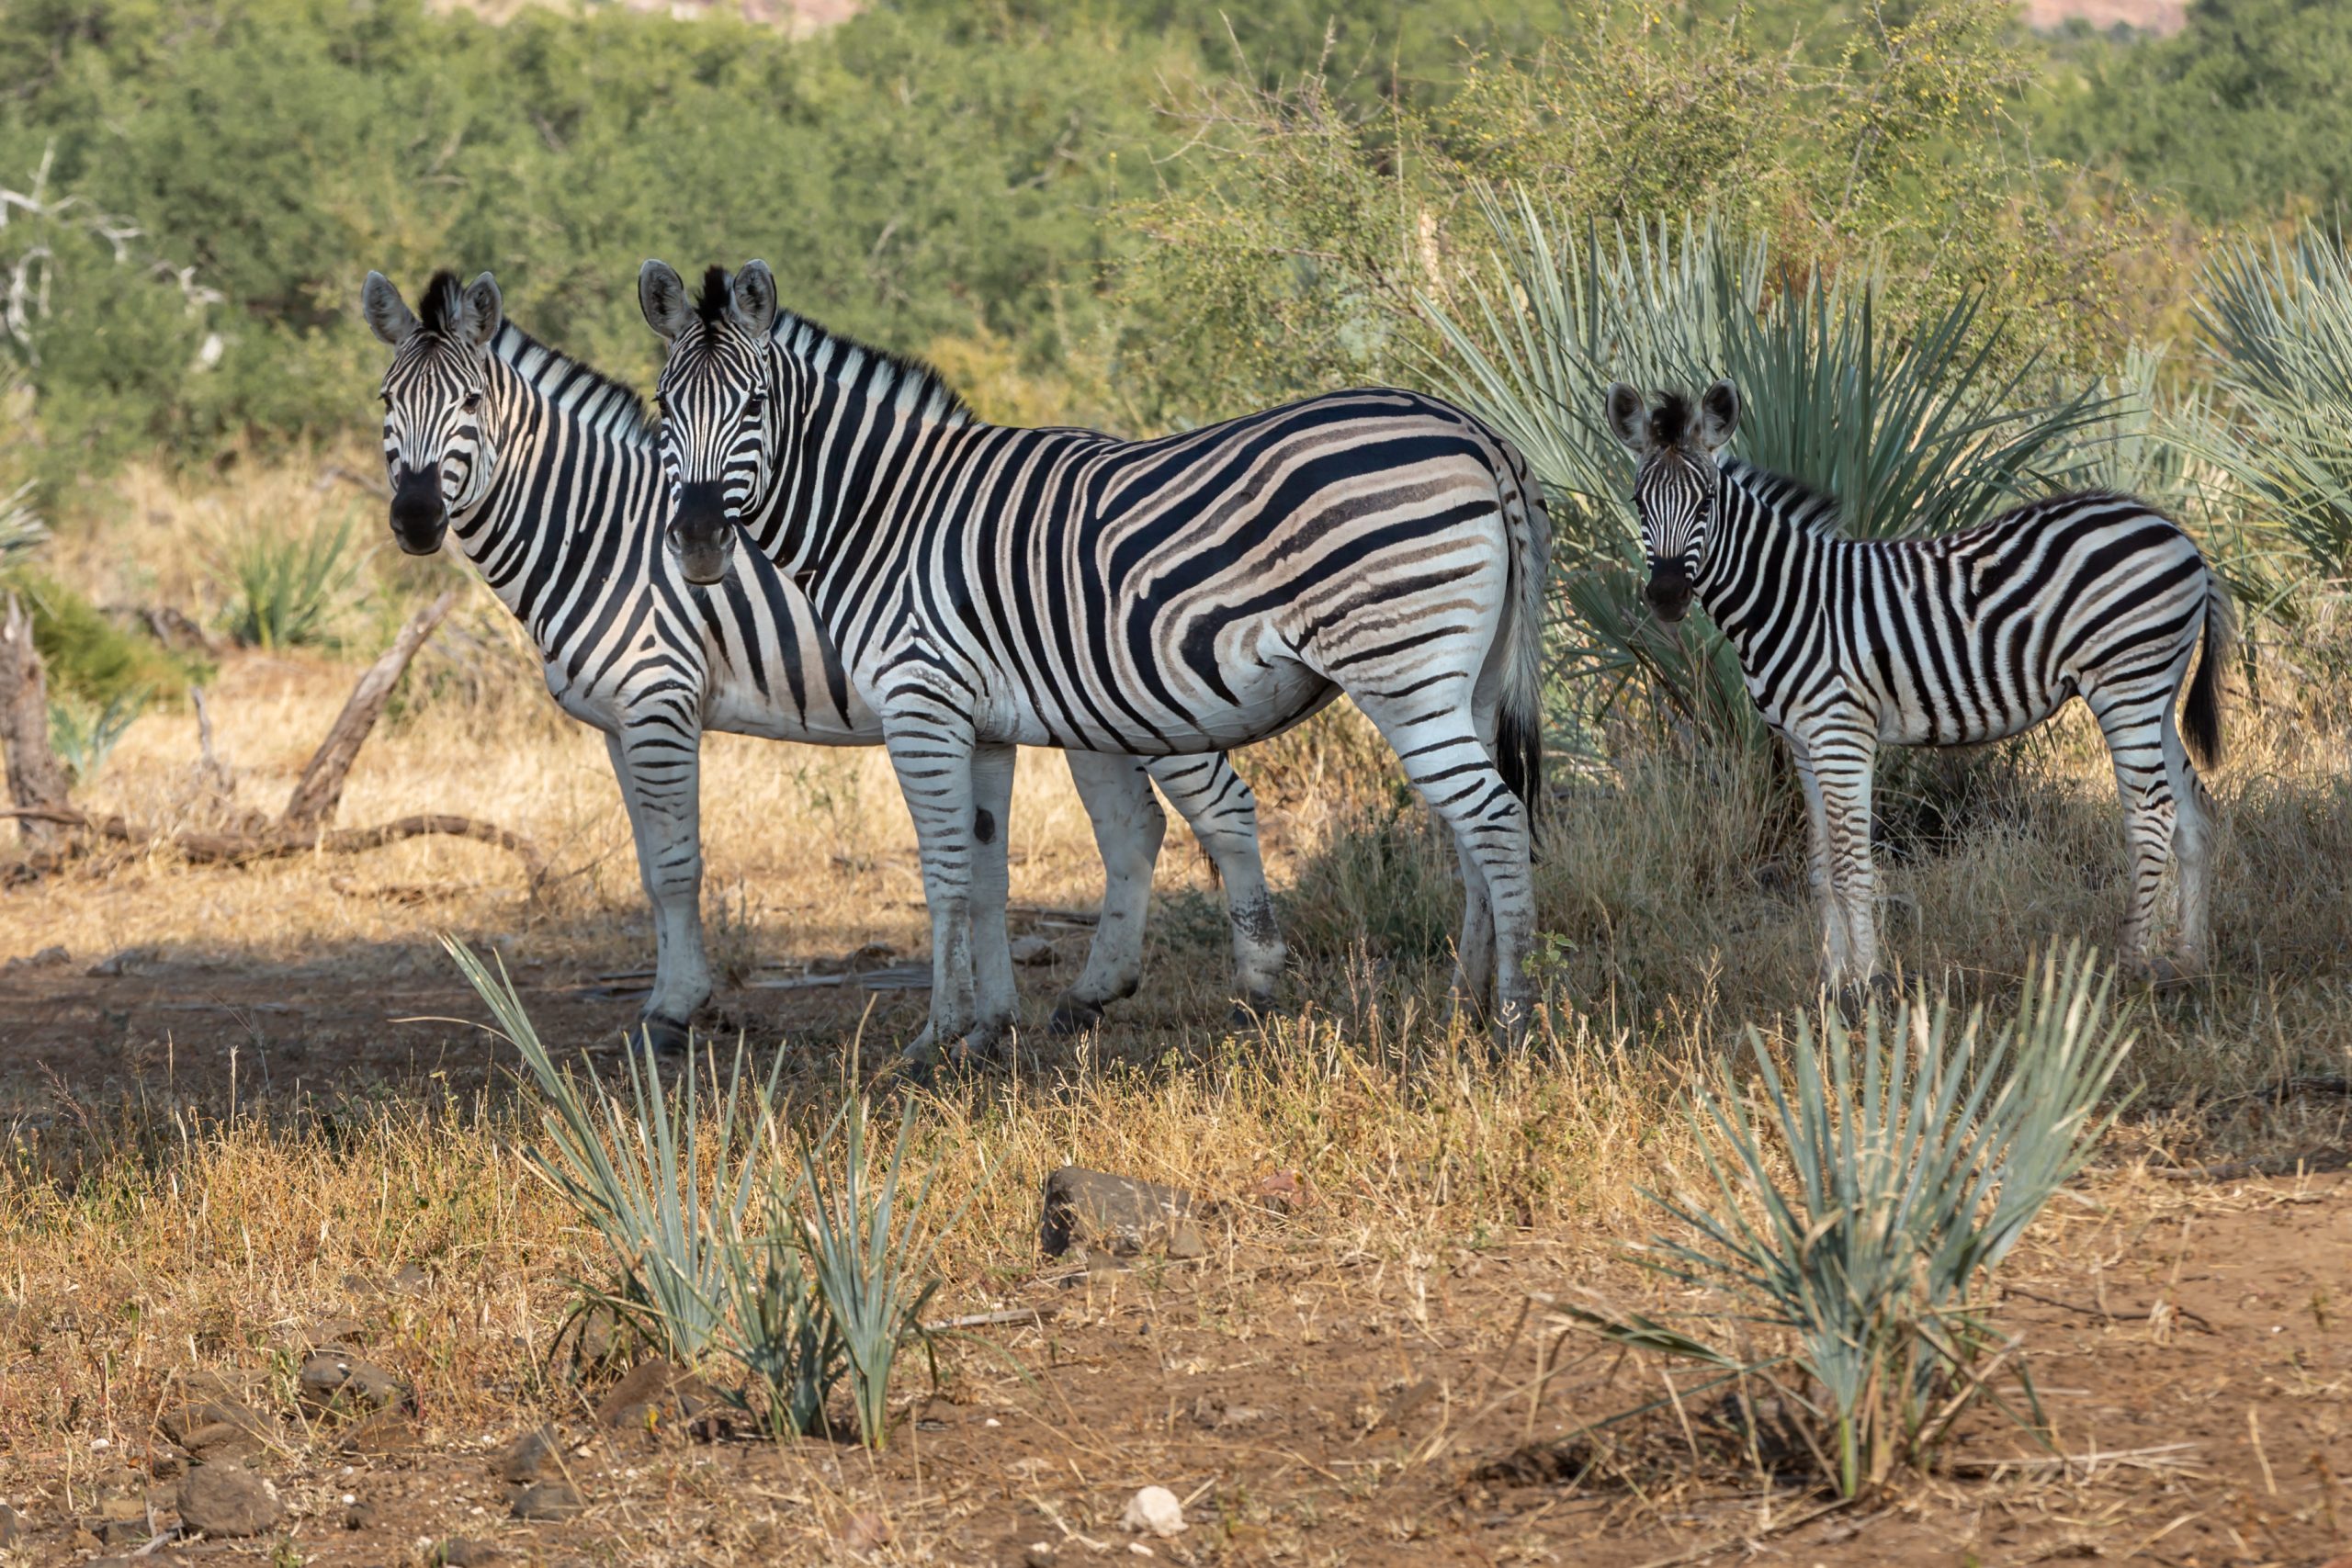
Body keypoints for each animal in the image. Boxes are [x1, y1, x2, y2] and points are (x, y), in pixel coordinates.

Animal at [361, 267, 1286, 1051]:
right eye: (384, 400)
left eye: (470, 402)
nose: (414, 520)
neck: (598, 534)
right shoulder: (619, 726)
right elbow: (648, 869)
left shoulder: (660, 703)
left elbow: (676, 866)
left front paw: (674, 1012)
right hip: (1084, 709)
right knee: (1132, 828)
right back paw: (1091, 996)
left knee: (1220, 809)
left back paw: (1251, 993)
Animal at [634, 259, 1552, 1061]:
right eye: (663, 405)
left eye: (756, 403)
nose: (700, 540)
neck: (884, 514)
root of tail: (1477, 432)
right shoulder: (983, 724)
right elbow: (987, 871)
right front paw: (987, 1032)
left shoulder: (921, 702)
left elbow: (943, 871)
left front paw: (935, 1038)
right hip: (1464, 682)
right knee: (1472, 829)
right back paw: (1460, 1008)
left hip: (1401, 671)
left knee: (1495, 820)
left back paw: (1511, 1022)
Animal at [1607, 379, 2227, 993]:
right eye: (1638, 502)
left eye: (1708, 501)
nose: (1665, 596)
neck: (1789, 598)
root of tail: (2176, 531)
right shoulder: (1803, 743)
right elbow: (1819, 866)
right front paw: (1832, 981)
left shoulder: (1840, 733)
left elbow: (1851, 865)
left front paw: (1867, 981)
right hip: (2156, 691)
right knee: (2193, 815)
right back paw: (2189, 960)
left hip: (2125, 684)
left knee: (2151, 815)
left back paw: (2130, 966)